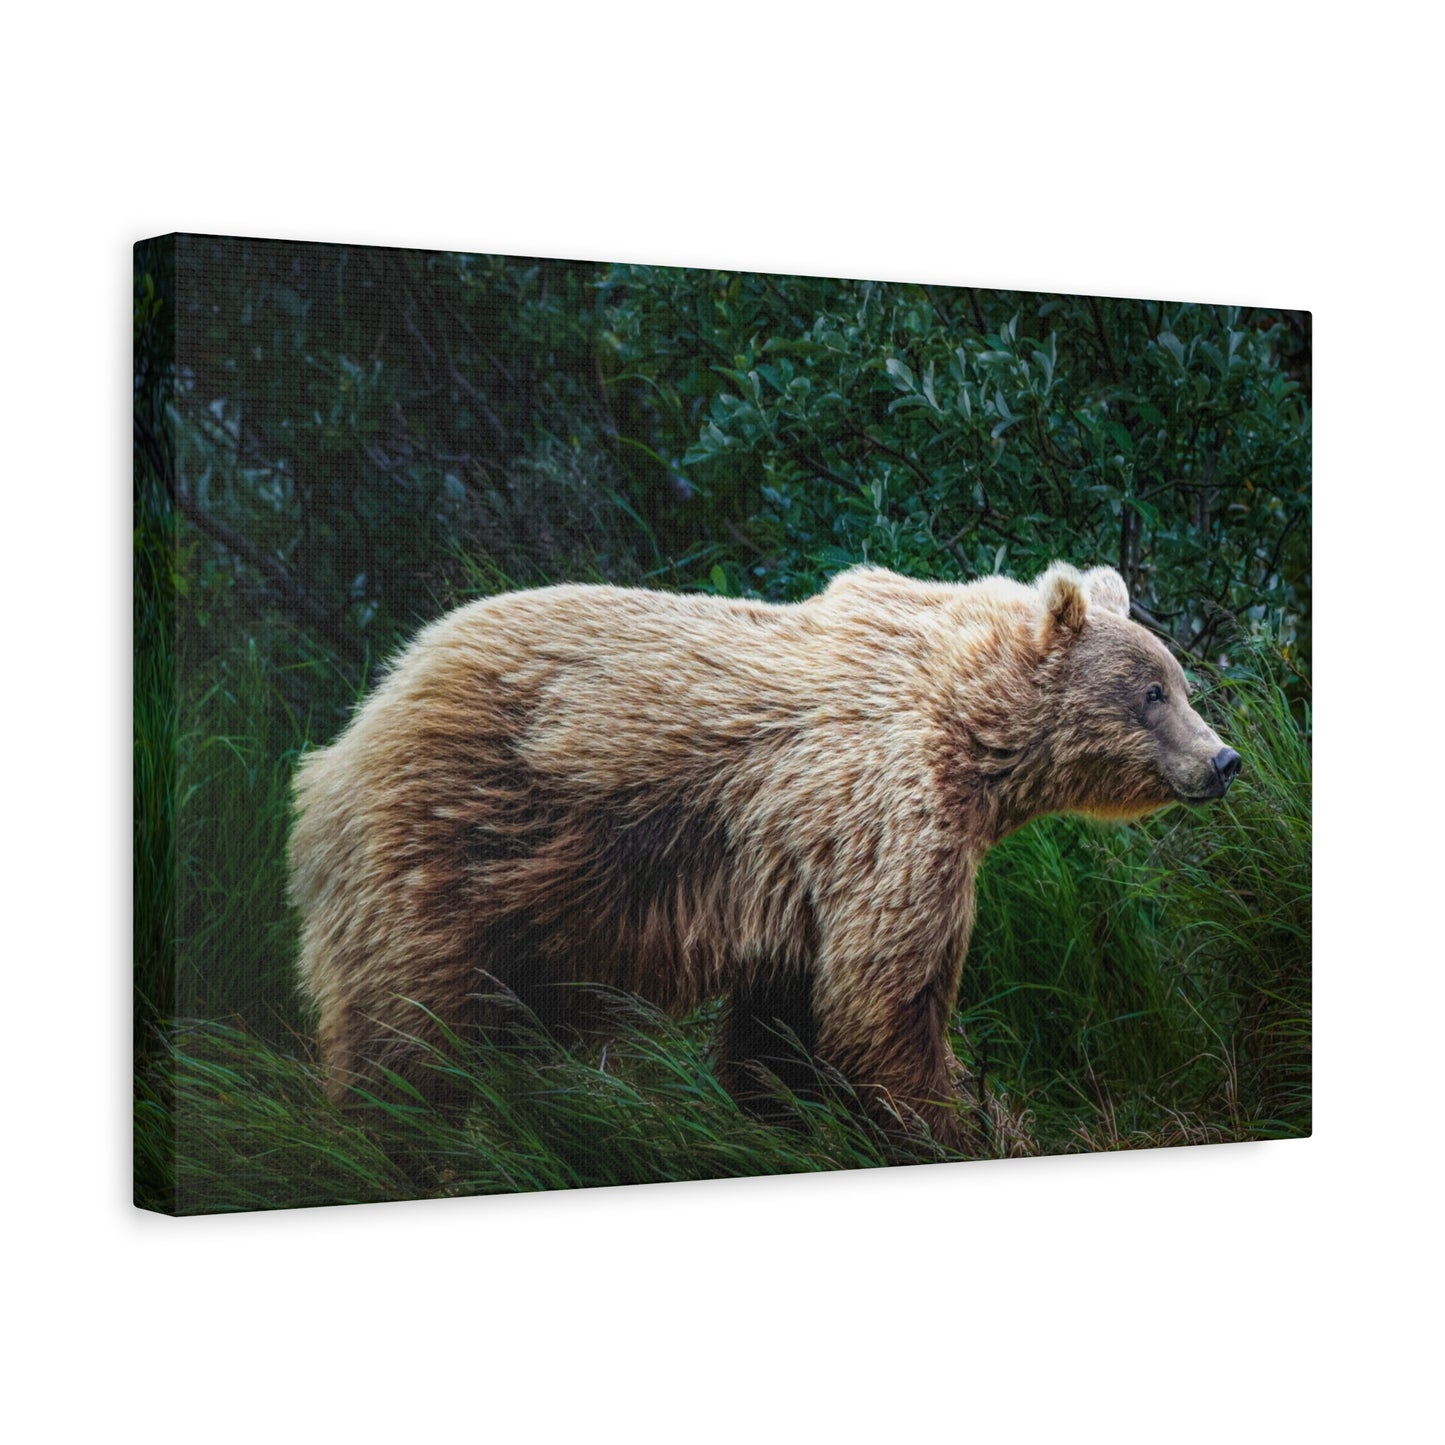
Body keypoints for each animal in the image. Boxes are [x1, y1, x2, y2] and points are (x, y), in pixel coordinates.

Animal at [288, 561, 1240, 1151]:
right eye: (1151, 691)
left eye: (1179, 680)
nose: (1223, 760)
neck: (975, 738)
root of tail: (352, 729)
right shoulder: (890, 819)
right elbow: (888, 1000)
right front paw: (960, 1120)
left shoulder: (800, 874)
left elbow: (786, 1023)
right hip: (453, 848)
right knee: (405, 1028)